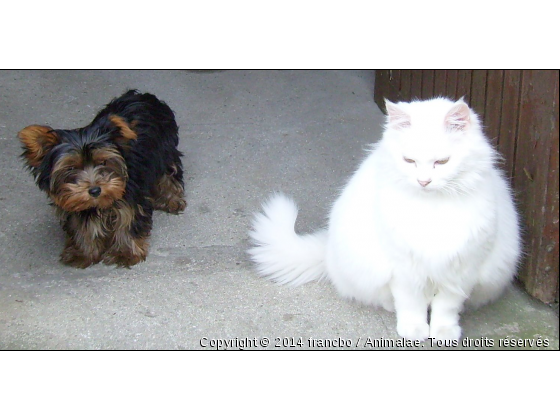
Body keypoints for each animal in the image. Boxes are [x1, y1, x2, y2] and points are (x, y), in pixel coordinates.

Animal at [249, 97, 520, 340]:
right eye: (409, 160)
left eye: (442, 162)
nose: (424, 181)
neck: (431, 212)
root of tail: (327, 251)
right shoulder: (404, 268)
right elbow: (411, 303)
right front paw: (414, 330)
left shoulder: (463, 267)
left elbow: (446, 307)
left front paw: (443, 332)